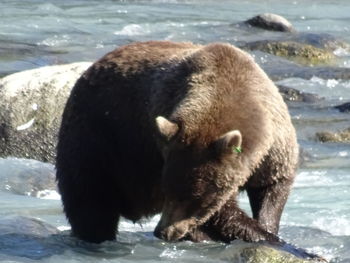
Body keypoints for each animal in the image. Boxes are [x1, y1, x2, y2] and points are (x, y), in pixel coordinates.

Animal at [56, 40, 300, 245]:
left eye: (194, 197)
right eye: (168, 189)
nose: (163, 232)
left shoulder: (274, 151)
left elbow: (272, 189)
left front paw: (268, 228)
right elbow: (224, 211)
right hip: (97, 140)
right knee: (91, 200)